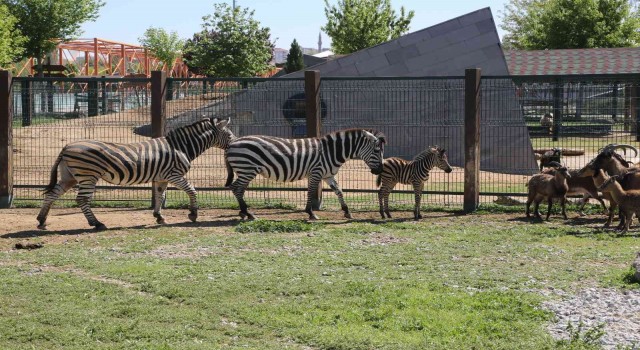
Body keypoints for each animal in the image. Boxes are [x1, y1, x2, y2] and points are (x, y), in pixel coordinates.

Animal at [36, 117, 235, 231]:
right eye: (230, 136)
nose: (234, 144)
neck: (181, 147)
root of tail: (66, 146)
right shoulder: (174, 175)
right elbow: (192, 190)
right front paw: (193, 214)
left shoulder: (162, 177)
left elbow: (160, 196)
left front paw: (159, 216)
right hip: (88, 175)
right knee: (82, 199)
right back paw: (97, 224)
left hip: (69, 176)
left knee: (52, 194)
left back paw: (41, 220)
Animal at [225, 129, 384, 220]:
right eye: (377, 151)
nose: (380, 171)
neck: (330, 152)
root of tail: (231, 144)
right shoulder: (316, 172)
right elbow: (311, 192)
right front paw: (311, 213)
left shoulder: (328, 175)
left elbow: (339, 191)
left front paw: (347, 212)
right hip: (247, 169)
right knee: (236, 188)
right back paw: (247, 213)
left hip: (246, 170)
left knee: (238, 189)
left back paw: (244, 212)